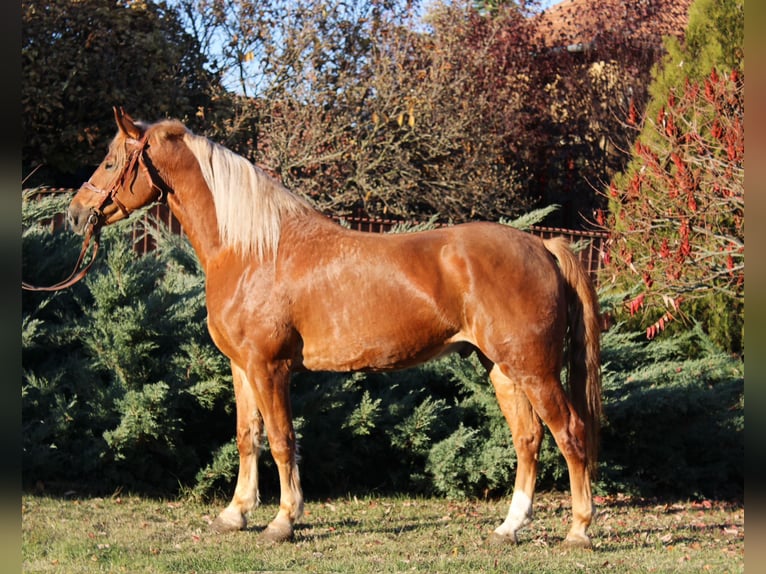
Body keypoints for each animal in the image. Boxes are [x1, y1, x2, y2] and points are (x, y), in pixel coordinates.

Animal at [67, 107, 602, 547]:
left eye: (112, 163)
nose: (75, 215)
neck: (252, 249)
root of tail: (542, 246)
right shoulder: (242, 367)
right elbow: (246, 437)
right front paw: (235, 514)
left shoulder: (270, 368)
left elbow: (282, 440)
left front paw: (283, 521)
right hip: (501, 368)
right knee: (528, 439)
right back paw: (510, 527)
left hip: (533, 369)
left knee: (570, 433)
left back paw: (579, 529)